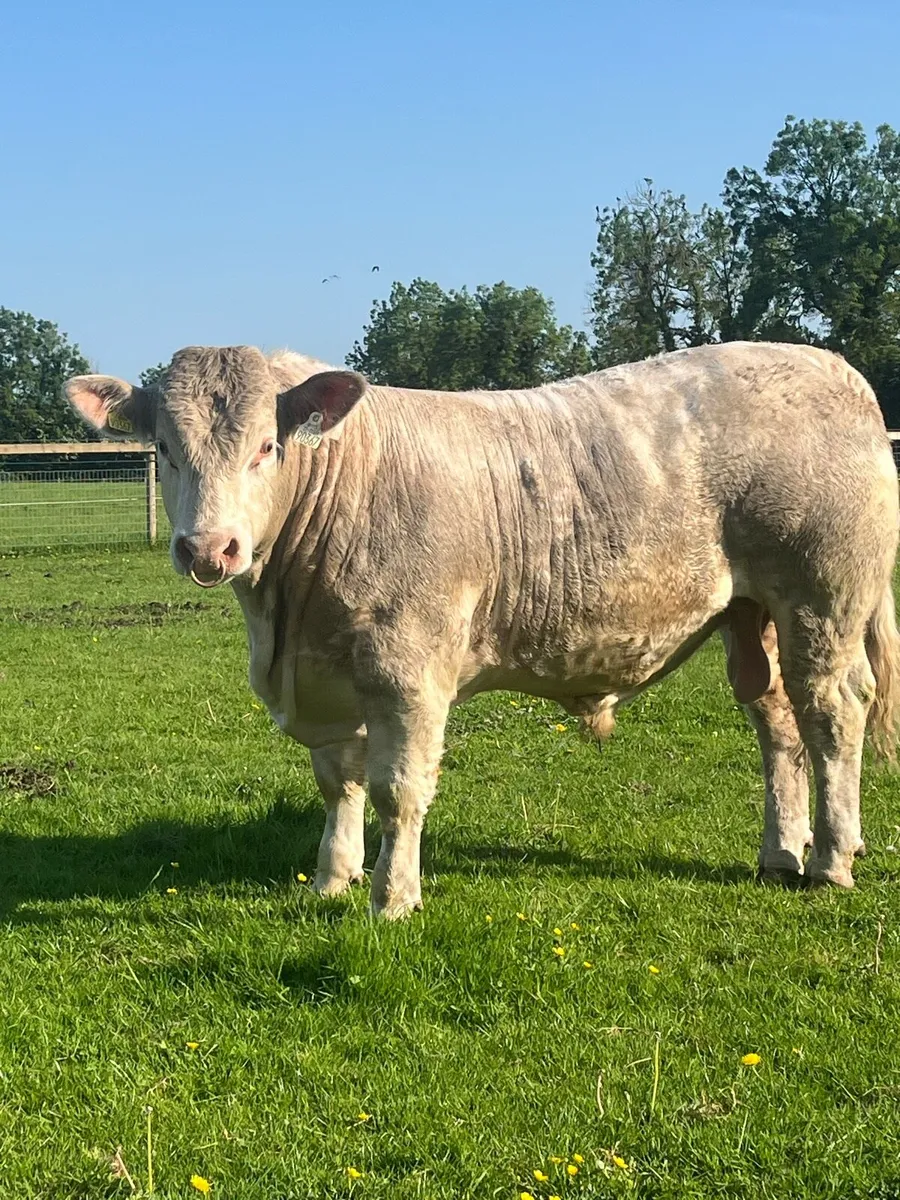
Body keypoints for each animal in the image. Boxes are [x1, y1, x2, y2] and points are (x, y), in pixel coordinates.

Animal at [65, 342, 900, 918]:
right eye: (165, 449)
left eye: (267, 447)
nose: (211, 549)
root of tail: (831, 366)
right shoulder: (331, 676)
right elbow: (338, 784)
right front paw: (331, 880)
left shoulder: (409, 670)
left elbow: (398, 789)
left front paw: (392, 898)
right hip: (751, 618)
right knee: (778, 724)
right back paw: (780, 852)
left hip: (822, 600)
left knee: (833, 713)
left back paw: (831, 859)